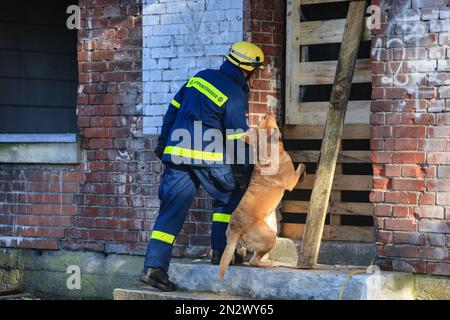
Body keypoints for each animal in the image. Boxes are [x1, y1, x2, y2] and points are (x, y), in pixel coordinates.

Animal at [218, 113, 306, 280]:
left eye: (261, 121)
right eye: (266, 120)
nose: (267, 113)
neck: (267, 150)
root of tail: (236, 227)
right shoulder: (291, 181)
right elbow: (301, 166)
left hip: (235, 242)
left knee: (236, 256)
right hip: (270, 237)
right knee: (254, 261)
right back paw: (271, 264)